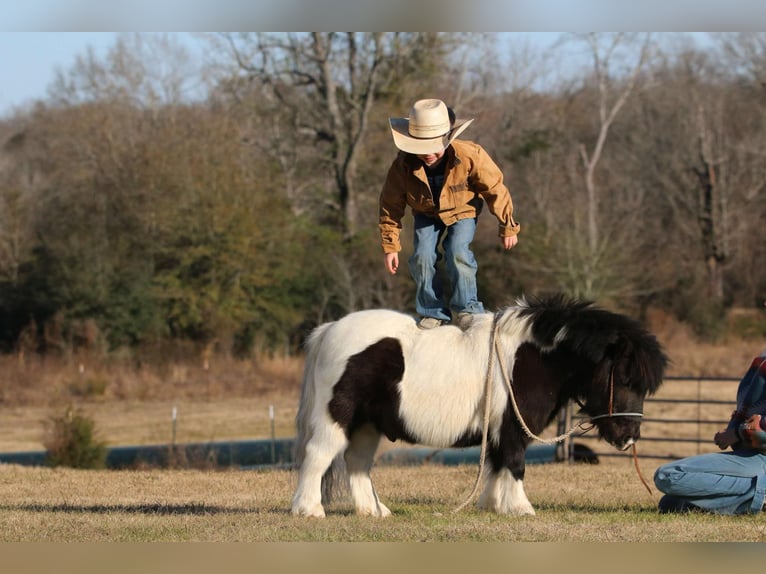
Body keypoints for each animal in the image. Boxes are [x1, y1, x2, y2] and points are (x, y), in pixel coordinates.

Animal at [292, 296, 668, 516]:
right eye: (625, 379)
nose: (629, 437)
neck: (531, 358)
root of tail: (330, 329)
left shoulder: (499, 429)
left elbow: (497, 465)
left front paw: (493, 505)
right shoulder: (514, 427)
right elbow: (515, 464)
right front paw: (521, 509)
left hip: (367, 425)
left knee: (357, 462)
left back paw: (374, 511)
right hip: (337, 417)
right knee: (319, 455)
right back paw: (308, 509)